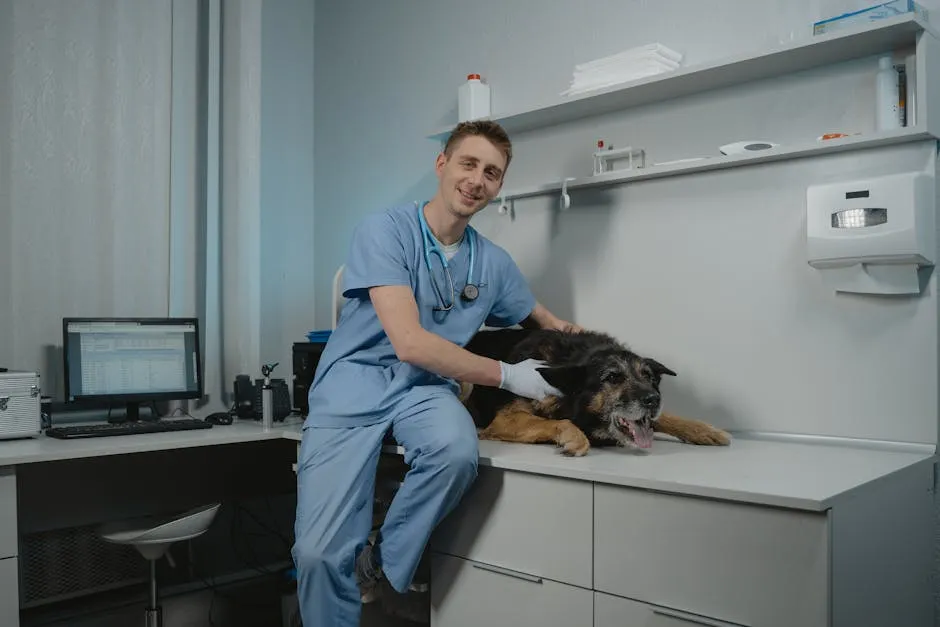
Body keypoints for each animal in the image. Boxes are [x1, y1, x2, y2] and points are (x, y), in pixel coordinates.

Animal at [458, 328, 732, 456]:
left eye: (649, 377)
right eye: (612, 377)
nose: (654, 399)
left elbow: (665, 417)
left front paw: (704, 430)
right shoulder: (506, 419)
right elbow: (563, 422)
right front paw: (575, 438)